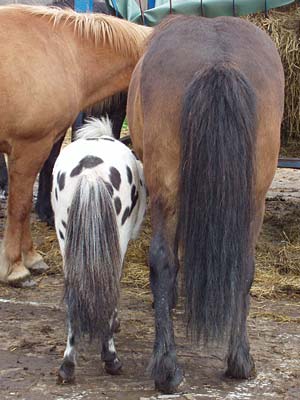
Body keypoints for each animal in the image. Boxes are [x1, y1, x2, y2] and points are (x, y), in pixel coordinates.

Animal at [51, 116, 147, 382]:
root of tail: (91, 171)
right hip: (118, 240)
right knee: (108, 290)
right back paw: (111, 358)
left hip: (66, 240)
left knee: (73, 299)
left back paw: (67, 366)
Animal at [127, 14, 284, 392]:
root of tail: (218, 61)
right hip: (253, 199)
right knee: (245, 265)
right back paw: (239, 361)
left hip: (167, 193)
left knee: (163, 260)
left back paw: (167, 367)